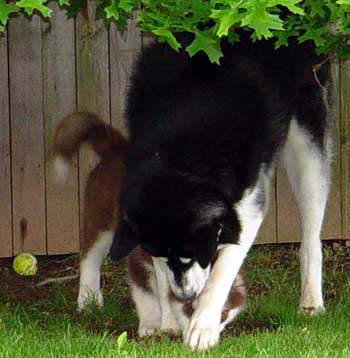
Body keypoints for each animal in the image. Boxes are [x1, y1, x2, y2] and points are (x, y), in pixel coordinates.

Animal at [54, 112, 246, 336]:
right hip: (101, 218)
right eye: (190, 308)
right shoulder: (143, 256)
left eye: (221, 313)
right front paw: (157, 325)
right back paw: (88, 300)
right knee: (89, 256)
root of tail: (117, 148)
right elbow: (151, 292)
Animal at [109, 32, 330, 352]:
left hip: (307, 144)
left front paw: (203, 325)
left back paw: (311, 299)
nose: (186, 296)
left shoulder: (247, 207)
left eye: (189, 254)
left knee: (312, 230)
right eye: (163, 255)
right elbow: (162, 277)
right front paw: (169, 319)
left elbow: (222, 272)